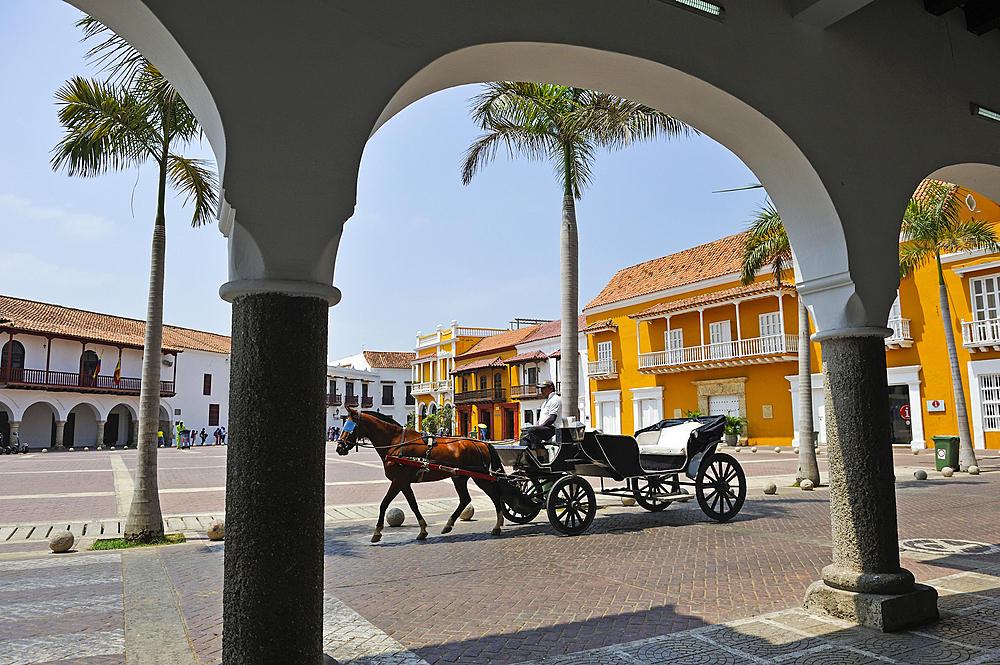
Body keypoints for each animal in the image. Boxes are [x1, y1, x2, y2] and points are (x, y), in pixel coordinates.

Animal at [336, 408, 532, 544]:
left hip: (479, 476)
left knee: (494, 495)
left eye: (350, 425)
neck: (395, 443)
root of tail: (482, 443)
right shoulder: (404, 482)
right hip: (459, 477)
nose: (339, 447)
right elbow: (413, 505)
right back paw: (448, 525)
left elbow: (384, 504)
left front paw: (377, 533)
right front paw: (423, 530)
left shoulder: (398, 481)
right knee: (465, 499)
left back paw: (497, 526)